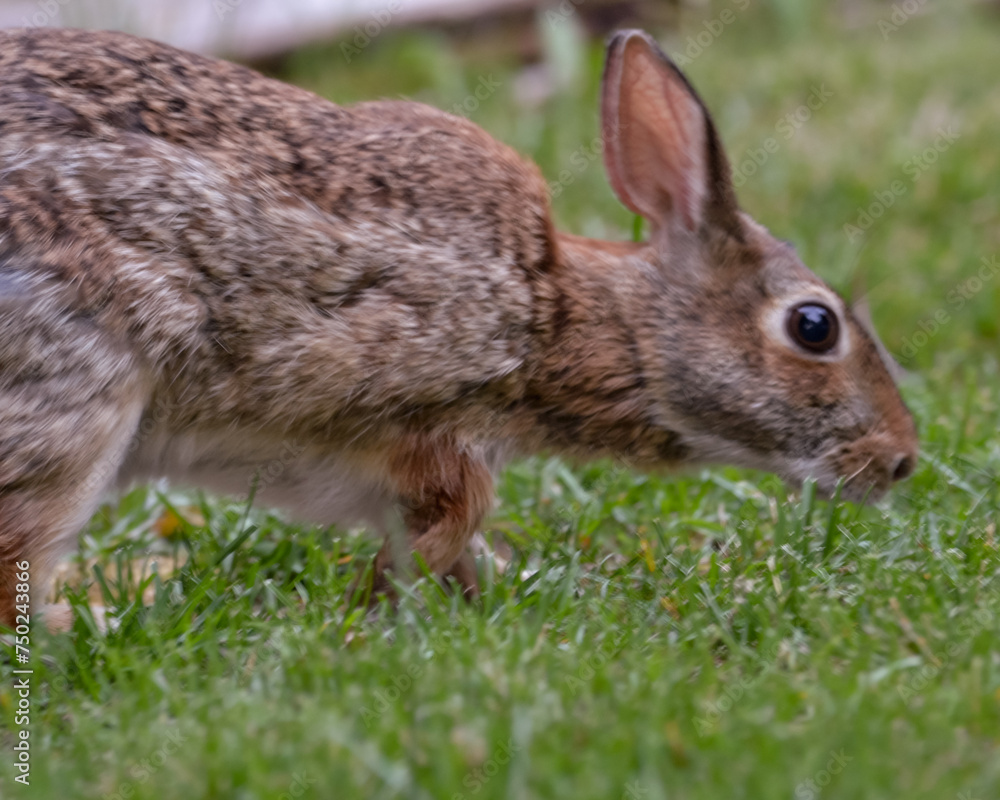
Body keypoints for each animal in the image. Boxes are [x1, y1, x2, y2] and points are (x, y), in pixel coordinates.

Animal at [0, 27, 917, 631]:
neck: (558, 317)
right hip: (80, 397)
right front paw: (373, 622)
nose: (902, 460)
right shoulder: (441, 440)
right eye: (813, 326)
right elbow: (437, 537)